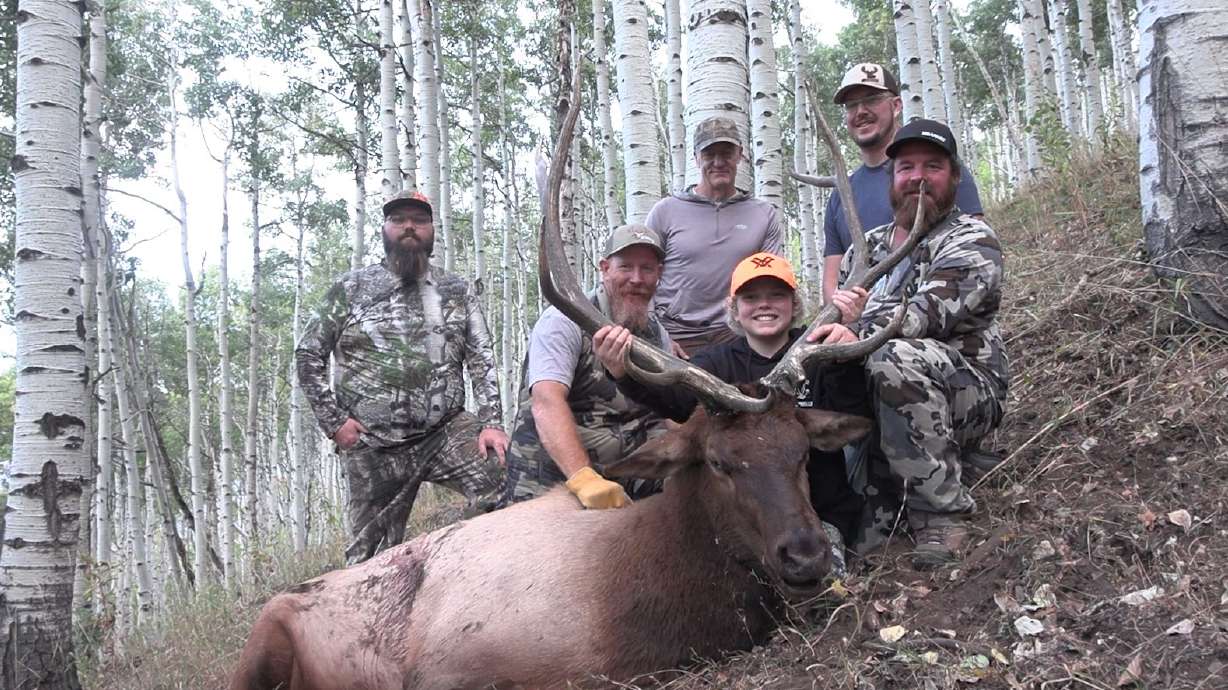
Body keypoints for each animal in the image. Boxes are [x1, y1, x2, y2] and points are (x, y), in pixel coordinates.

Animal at [228, 78, 929, 690]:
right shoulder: (450, 668)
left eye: (802, 454)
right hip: (262, 640)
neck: (642, 610)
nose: (806, 556)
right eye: (720, 462)